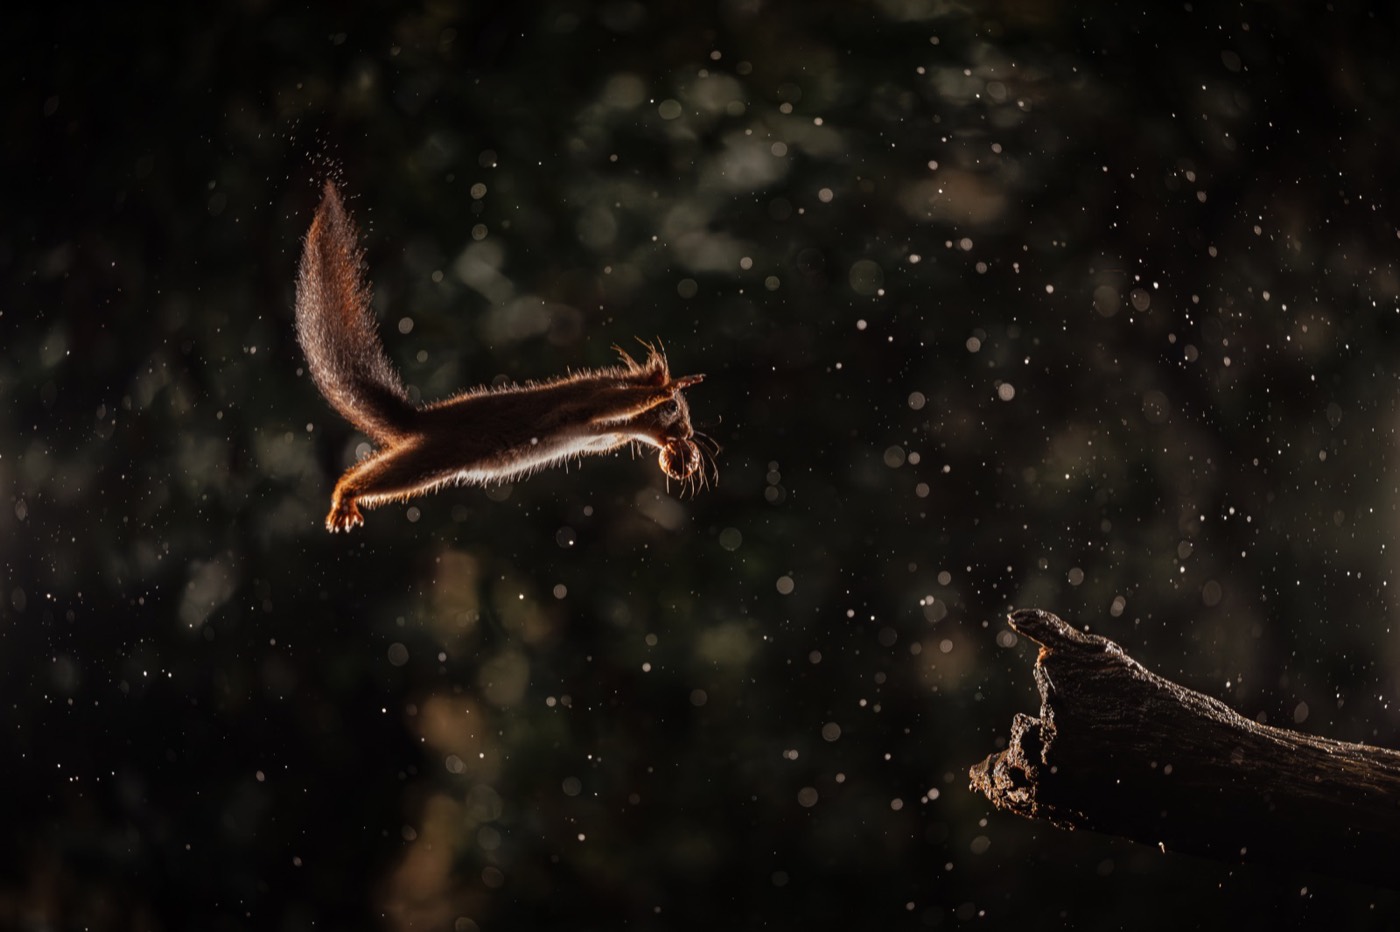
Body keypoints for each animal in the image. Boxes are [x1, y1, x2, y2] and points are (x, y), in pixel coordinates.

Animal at [295, 181, 713, 532]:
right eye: (674, 410)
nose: (688, 434)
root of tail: (422, 420)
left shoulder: (606, 433)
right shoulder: (591, 399)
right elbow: (613, 400)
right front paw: (669, 386)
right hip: (434, 457)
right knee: (381, 474)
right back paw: (344, 495)